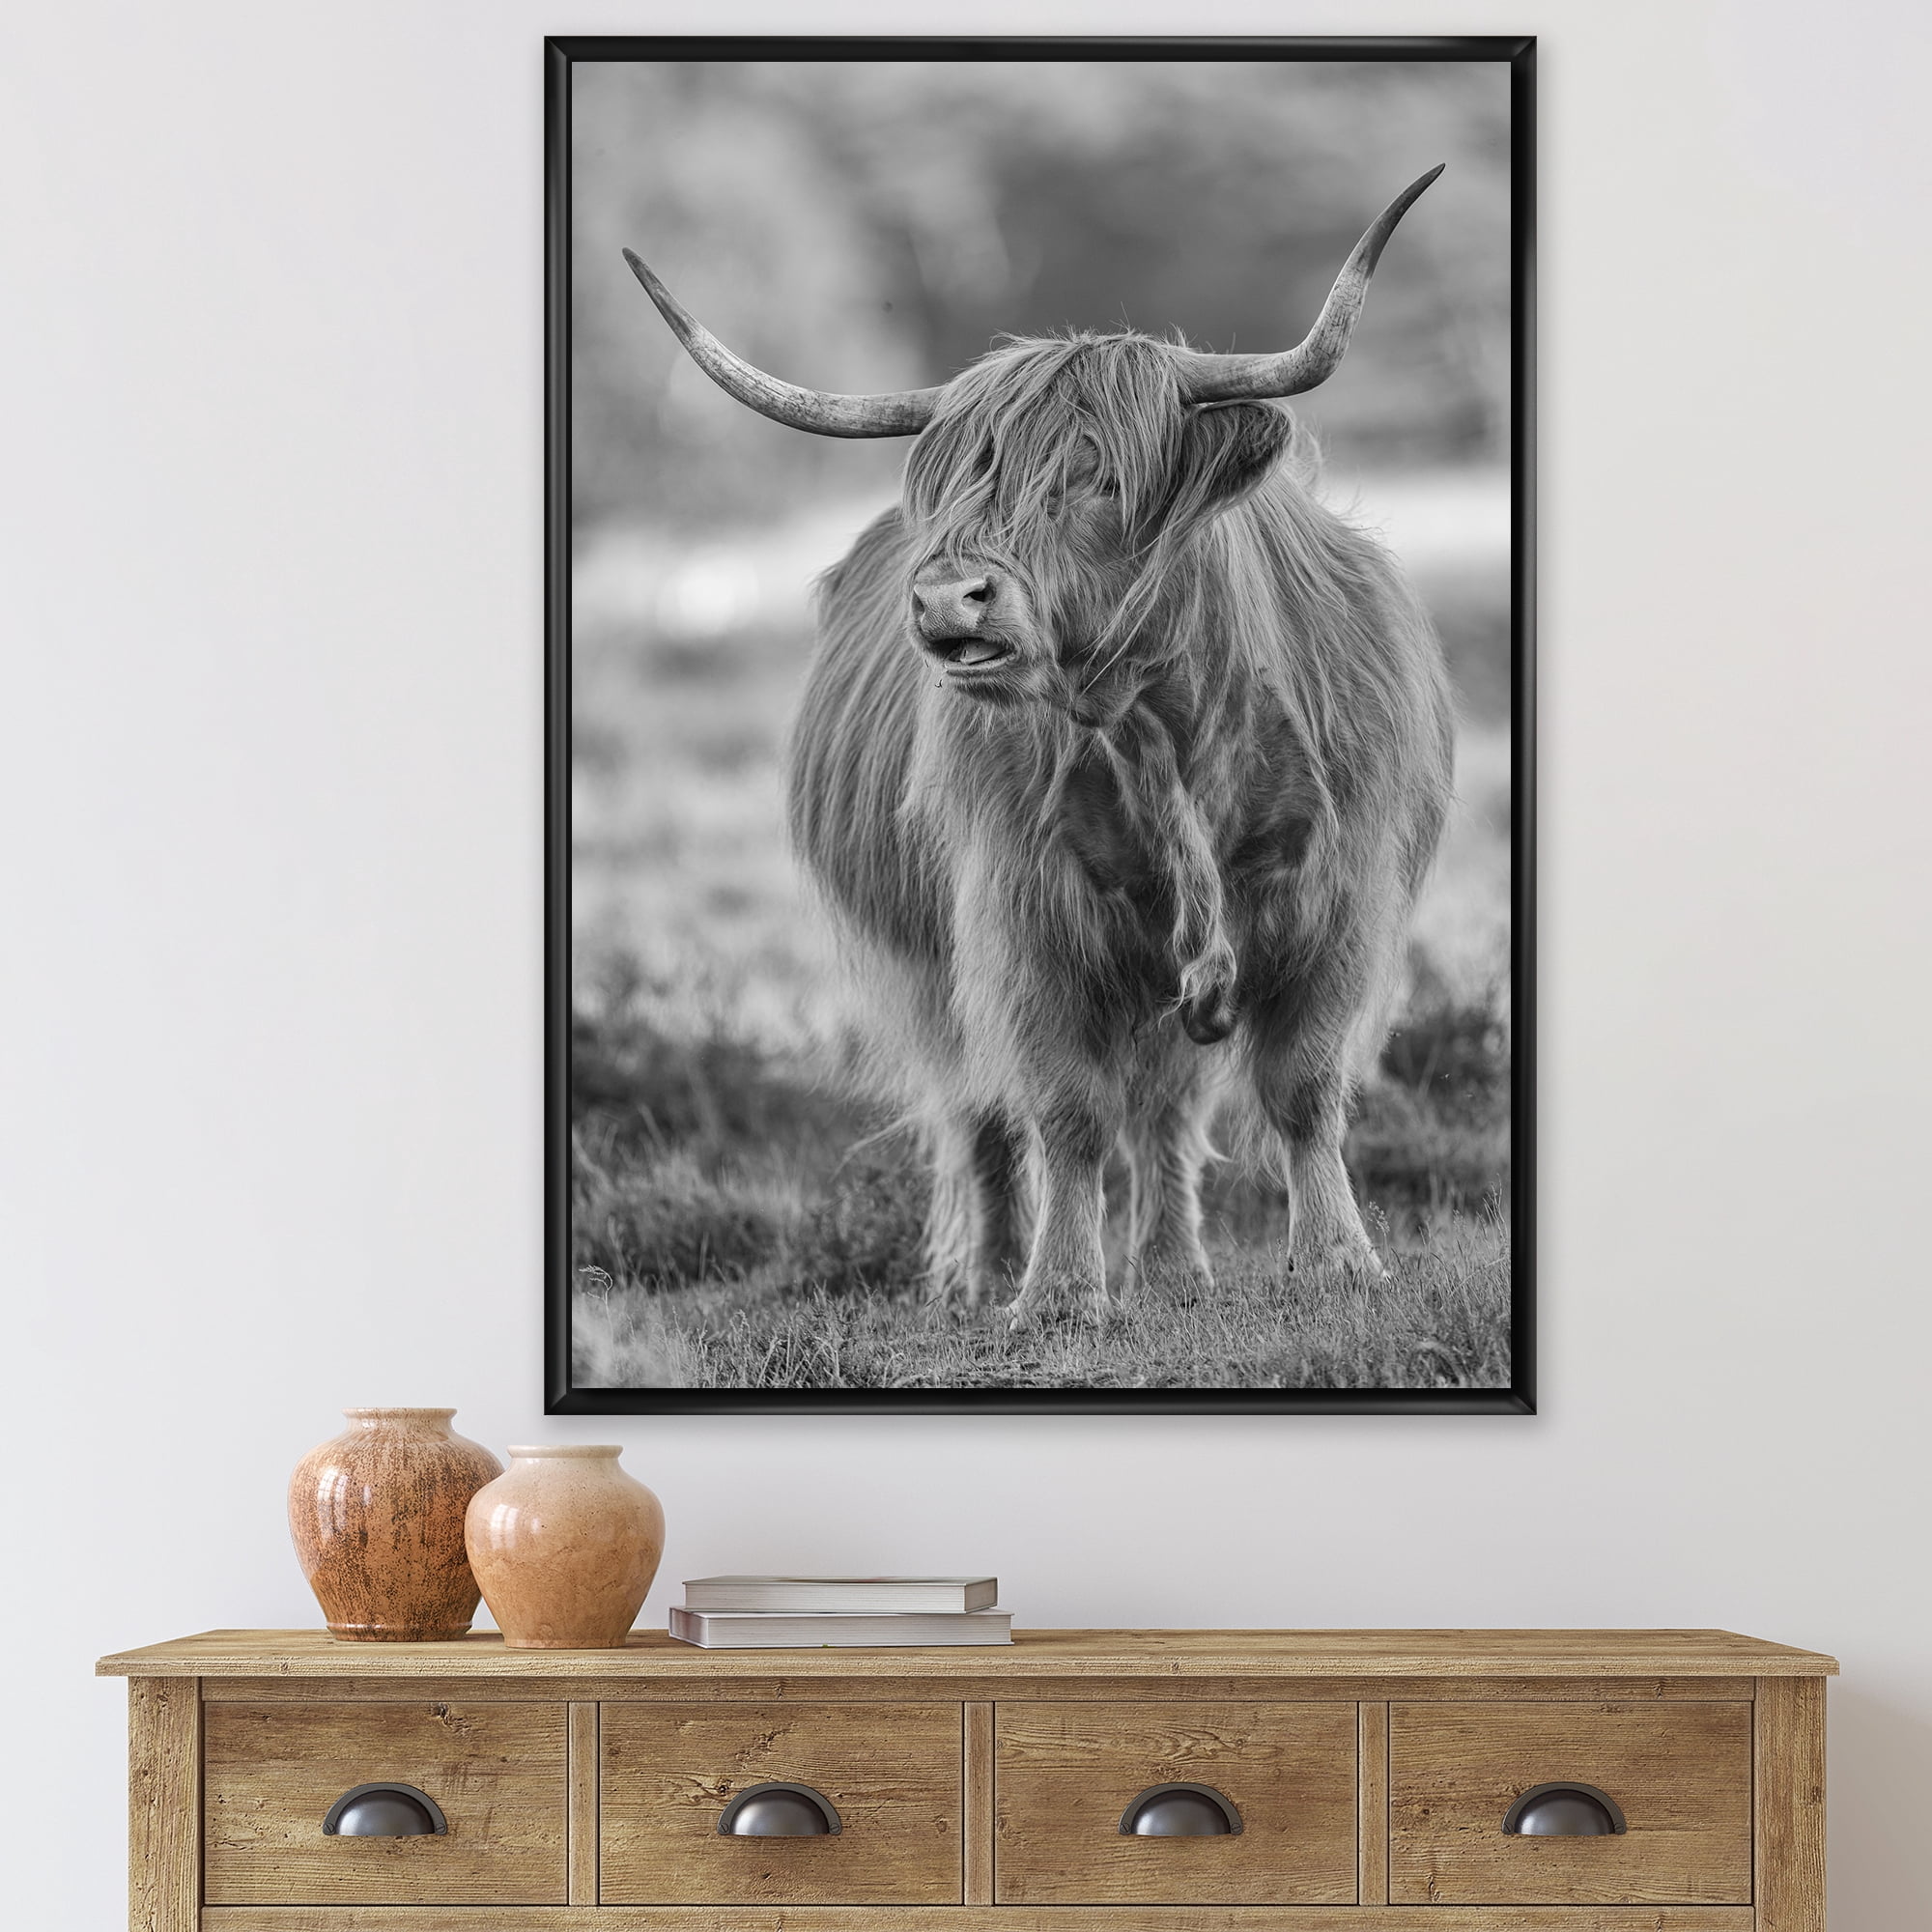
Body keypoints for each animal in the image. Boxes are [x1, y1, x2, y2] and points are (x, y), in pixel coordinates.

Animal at [621, 168, 1455, 1328]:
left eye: (1098, 475)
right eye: (959, 484)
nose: (945, 598)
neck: (1164, 730)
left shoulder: (1337, 899)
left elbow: (1302, 1088)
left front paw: (1337, 1262)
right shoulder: (1023, 918)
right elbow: (1063, 1110)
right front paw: (1057, 1291)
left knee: (1165, 1107)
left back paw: (1173, 1266)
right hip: (933, 967)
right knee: (982, 1108)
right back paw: (985, 1276)